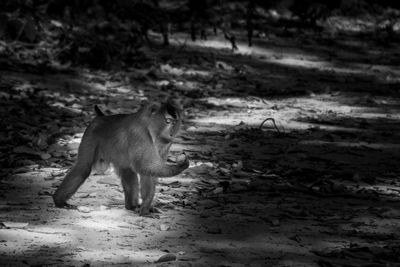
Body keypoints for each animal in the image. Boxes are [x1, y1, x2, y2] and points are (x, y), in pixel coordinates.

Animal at [53, 101, 189, 217]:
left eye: (175, 122)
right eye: (168, 121)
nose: (171, 133)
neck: (148, 125)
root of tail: (101, 117)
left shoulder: (165, 144)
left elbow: (148, 173)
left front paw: (146, 207)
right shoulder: (139, 135)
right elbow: (144, 167)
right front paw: (181, 166)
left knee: (128, 171)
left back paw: (131, 206)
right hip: (90, 135)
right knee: (83, 168)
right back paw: (59, 201)